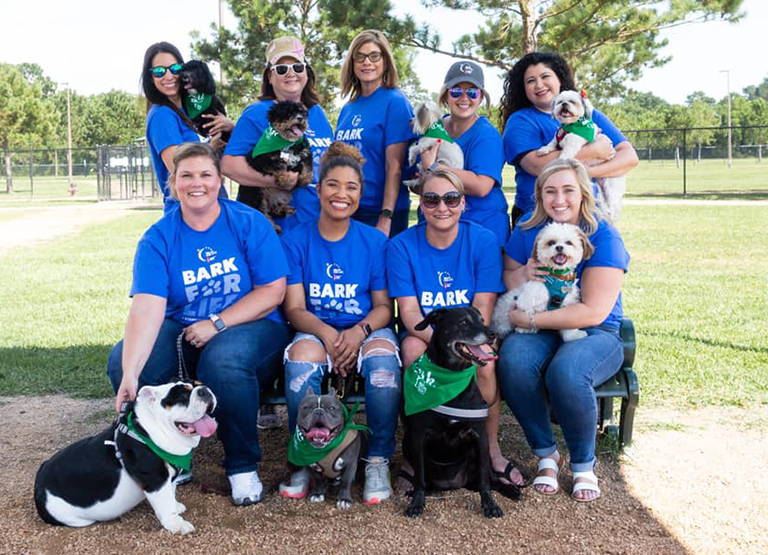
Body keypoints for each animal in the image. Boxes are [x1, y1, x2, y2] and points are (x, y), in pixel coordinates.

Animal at [242, 101, 310, 233]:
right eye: (288, 113)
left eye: (301, 112)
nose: (300, 118)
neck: (287, 143)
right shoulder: (260, 159)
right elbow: (278, 165)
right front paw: (286, 178)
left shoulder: (305, 151)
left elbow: (307, 165)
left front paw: (305, 179)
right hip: (257, 193)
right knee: (262, 212)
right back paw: (274, 227)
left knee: (272, 208)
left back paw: (285, 209)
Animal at [402, 306, 520, 520]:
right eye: (464, 322)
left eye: (482, 320)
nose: (492, 333)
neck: (451, 377)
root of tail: (455, 483)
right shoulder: (418, 436)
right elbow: (419, 477)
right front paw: (416, 503)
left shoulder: (480, 436)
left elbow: (485, 481)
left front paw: (490, 505)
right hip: (407, 442)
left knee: (489, 479)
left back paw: (510, 489)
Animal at [536, 89, 628, 222]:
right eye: (560, 101)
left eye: (572, 102)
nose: (564, 104)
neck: (570, 126)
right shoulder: (556, 139)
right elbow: (551, 144)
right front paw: (544, 149)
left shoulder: (573, 143)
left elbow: (565, 153)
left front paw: (561, 160)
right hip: (601, 190)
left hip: (611, 187)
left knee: (612, 205)